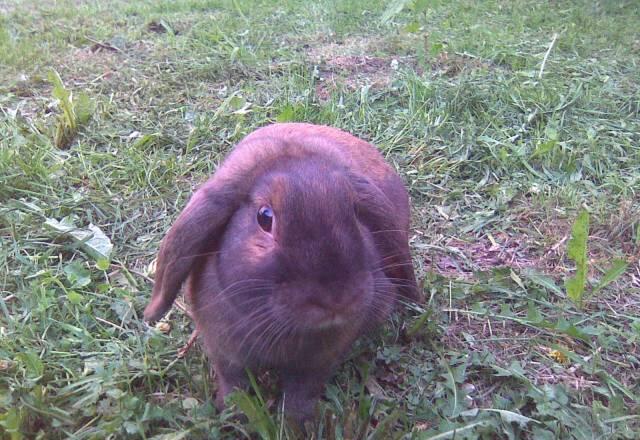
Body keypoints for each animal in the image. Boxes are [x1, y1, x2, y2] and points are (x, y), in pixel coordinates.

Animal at [143, 122, 419, 423]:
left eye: (356, 214)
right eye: (265, 218)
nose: (338, 300)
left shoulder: (316, 365)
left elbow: (301, 394)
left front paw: (297, 423)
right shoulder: (225, 353)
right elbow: (233, 383)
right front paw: (232, 412)